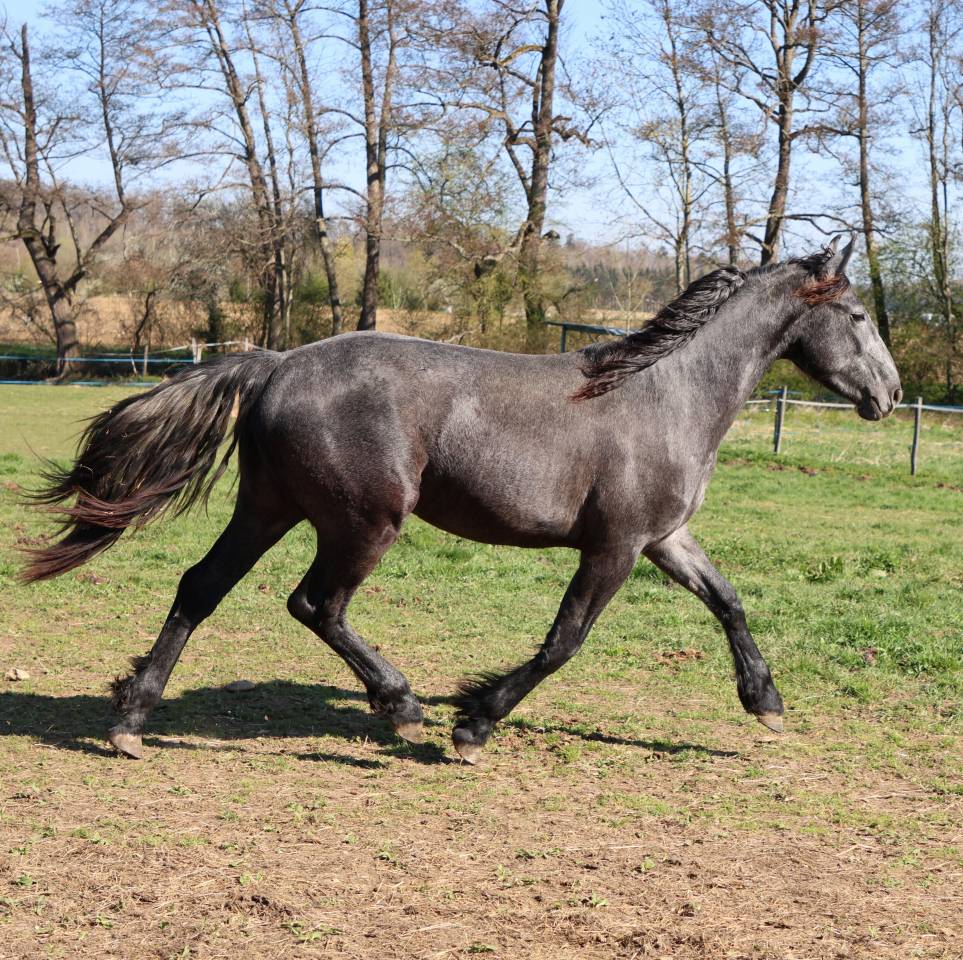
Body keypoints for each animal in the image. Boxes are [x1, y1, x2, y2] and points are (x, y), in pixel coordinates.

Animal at [22, 236, 902, 762]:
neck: (665, 393)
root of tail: (275, 365)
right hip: (364, 521)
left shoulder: (662, 538)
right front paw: (473, 724)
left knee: (200, 588)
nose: (889, 396)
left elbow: (728, 602)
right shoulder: (614, 546)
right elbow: (563, 641)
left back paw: (130, 721)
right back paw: (401, 705)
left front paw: (766, 704)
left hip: (269, 508)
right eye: (858, 314)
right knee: (315, 604)